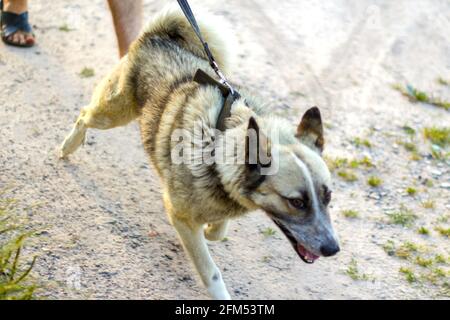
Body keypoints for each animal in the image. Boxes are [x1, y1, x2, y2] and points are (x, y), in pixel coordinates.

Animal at [60, 5, 342, 300]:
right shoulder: (181, 218)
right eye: (296, 202)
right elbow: (211, 272)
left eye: (328, 196)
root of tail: (159, 35)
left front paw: (212, 228)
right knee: (84, 116)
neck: (218, 146)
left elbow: (218, 230)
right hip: (115, 111)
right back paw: (68, 146)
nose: (333, 249)